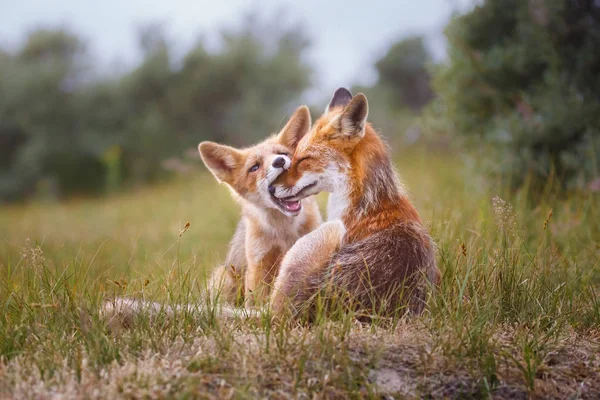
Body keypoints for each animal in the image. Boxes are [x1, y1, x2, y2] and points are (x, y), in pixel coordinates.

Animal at [199, 106, 324, 306]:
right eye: (255, 167)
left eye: (283, 154)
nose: (279, 161)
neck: (284, 232)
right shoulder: (259, 263)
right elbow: (258, 301)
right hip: (224, 279)